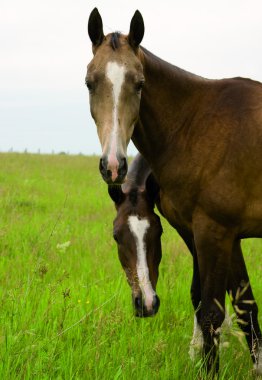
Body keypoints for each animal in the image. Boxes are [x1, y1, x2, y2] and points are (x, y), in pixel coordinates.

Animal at [86, 7, 262, 376]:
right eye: (90, 83)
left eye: (139, 84)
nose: (113, 165)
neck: (193, 125)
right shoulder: (208, 233)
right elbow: (241, 306)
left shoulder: (214, 232)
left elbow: (212, 312)